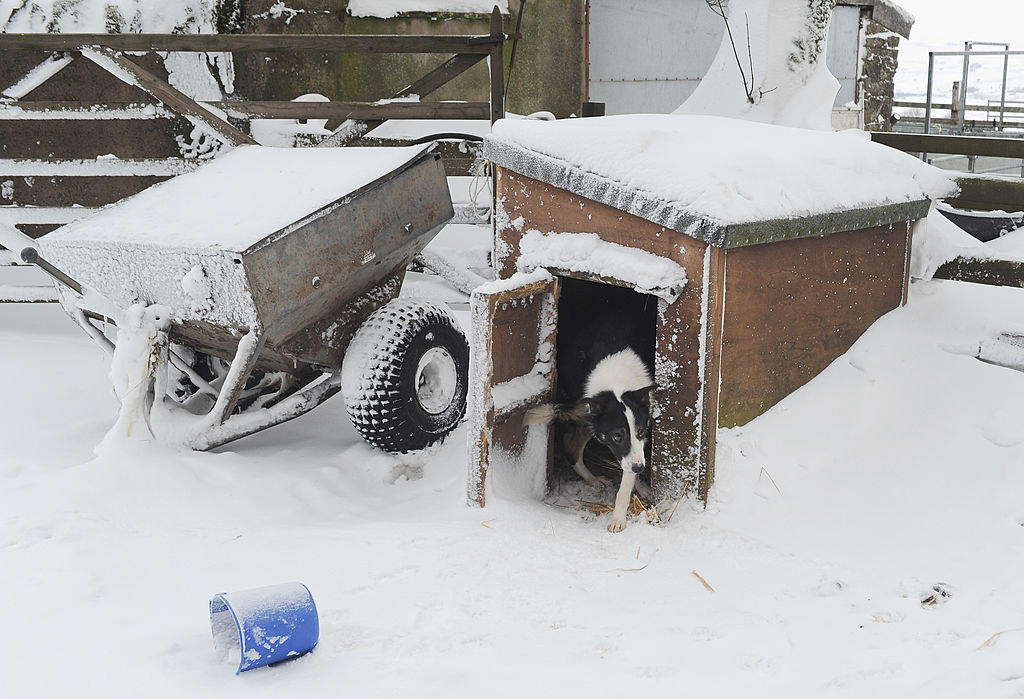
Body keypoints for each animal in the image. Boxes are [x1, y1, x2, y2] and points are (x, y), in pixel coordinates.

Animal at [528, 292, 655, 532]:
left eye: (642, 431)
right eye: (617, 436)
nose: (639, 468)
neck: (616, 379)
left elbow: (626, 480)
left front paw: (622, 512)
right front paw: (620, 516)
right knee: (571, 447)